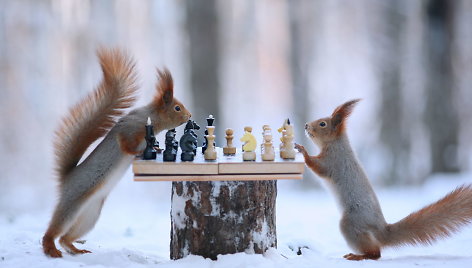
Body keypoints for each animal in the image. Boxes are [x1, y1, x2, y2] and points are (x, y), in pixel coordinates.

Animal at [42, 48, 192, 258]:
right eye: (177, 108)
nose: (189, 116)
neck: (151, 118)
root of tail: (66, 179)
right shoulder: (129, 131)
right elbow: (127, 145)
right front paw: (142, 151)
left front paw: (157, 148)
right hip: (73, 203)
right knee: (56, 228)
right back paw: (50, 247)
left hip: (90, 215)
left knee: (65, 237)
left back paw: (76, 249)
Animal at [296, 99, 472, 260]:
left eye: (323, 124)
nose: (305, 126)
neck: (336, 144)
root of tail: (381, 230)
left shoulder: (333, 161)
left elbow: (318, 167)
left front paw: (303, 151)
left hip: (351, 224)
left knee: (376, 253)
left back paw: (358, 256)